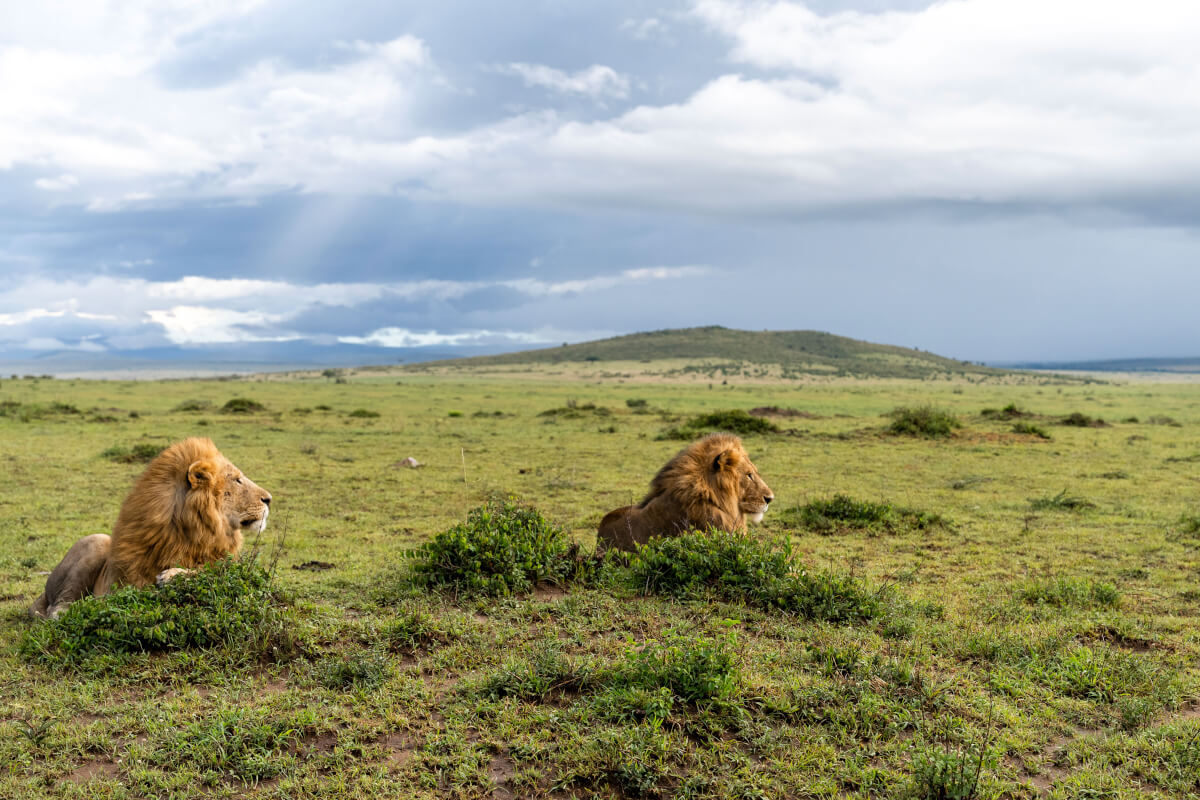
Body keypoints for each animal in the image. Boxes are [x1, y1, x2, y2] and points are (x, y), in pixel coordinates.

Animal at [28, 438, 274, 618]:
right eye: (237, 479)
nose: (269, 499)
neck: (198, 530)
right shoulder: (130, 581)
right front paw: (171, 576)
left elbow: (220, 569)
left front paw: (173, 575)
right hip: (96, 542)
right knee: (57, 608)